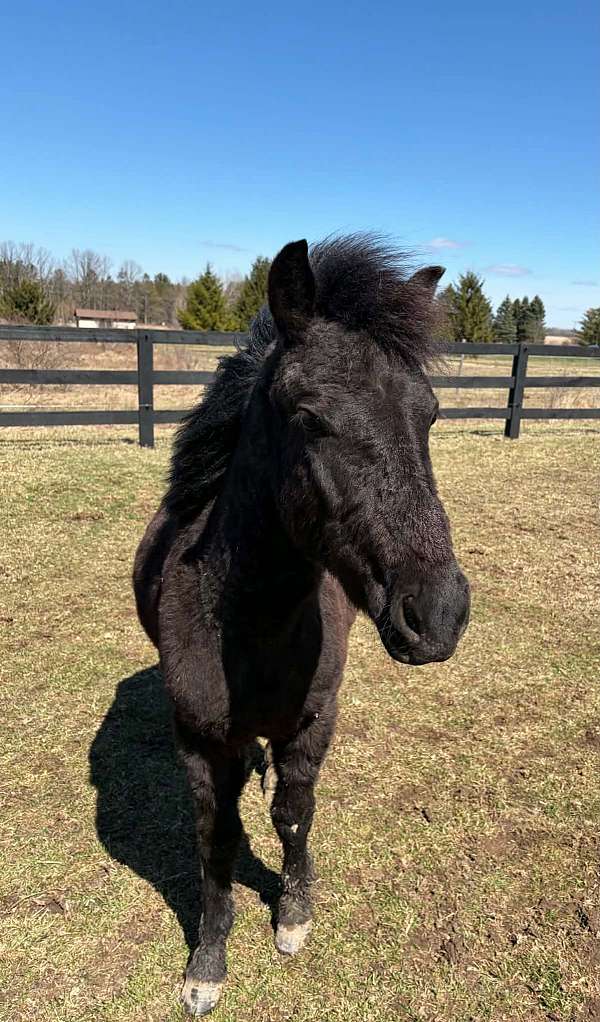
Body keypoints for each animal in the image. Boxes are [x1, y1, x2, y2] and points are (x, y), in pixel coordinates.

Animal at [133, 235, 470, 1016]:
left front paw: (292, 915)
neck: (251, 625)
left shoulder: (315, 722)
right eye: (311, 417)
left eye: (431, 415)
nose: (438, 613)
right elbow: (216, 839)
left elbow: (293, 813)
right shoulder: (198, 741)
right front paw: (208, 962)